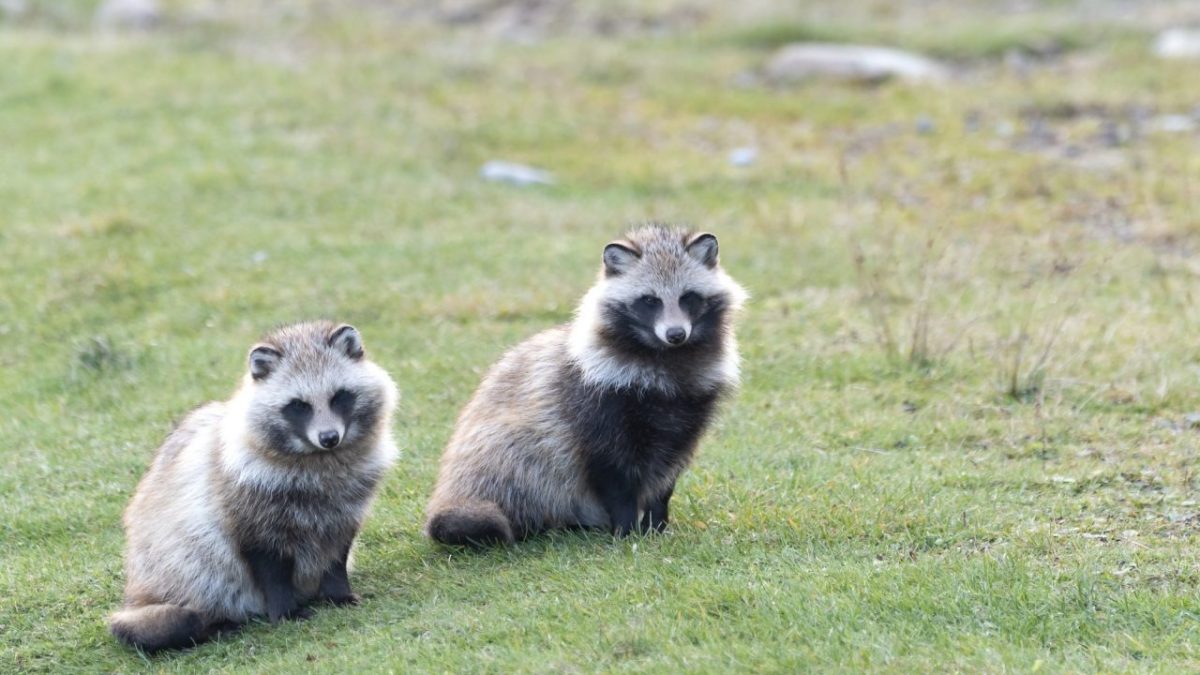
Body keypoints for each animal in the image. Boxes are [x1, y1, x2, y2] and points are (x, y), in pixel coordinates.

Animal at [108, 321, 398, 653]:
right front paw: (285, 611)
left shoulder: (344, 511)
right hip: (177, 582)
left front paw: (337, 593)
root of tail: (135, 597)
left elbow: (336, 555)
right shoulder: (245, 511)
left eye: (339, 396)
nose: (329, 438)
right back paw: (215, 624)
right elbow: (269, 567)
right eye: (299, 405)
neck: (321, 461)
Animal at [422, 223, 739, 542]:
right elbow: (611, 472)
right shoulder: (594, 402)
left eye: (688, 297)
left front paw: (657, 523)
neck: (665, 358)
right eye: (650, 301)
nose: (675, 334)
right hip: (502, 463)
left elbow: (667, 472)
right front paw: (626, 529)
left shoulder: (687, 411)